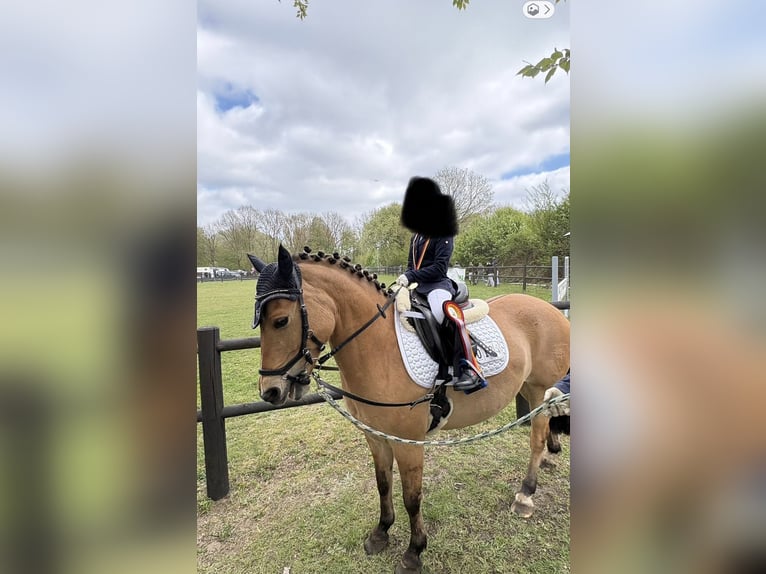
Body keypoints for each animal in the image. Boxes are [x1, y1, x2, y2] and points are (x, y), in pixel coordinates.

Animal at [247, 245, 570, 574]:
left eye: (281, 321)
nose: (270, 391)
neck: (379, 347)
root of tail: (551, 309)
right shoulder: (375, 437)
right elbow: (383, 484)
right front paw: (381, 533)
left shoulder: (409, 443)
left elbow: (411, 497)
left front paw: (414, 552)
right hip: (530, 390)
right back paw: (549, 456)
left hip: (539, 389)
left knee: (536, 438)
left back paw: (526, 493)